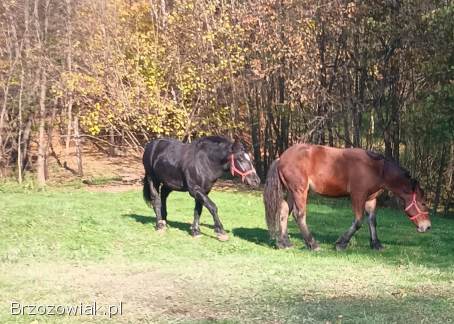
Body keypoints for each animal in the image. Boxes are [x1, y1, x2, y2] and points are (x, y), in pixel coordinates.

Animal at [262, 144, 430, 251]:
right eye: (422, 203)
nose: (427, 227)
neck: (375, 169)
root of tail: (281, 158)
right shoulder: (357, 196)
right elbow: (358, 221)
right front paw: (341, 243)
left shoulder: (371, 199)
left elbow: (372, 221)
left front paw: (376, 244)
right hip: (300, 191)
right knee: (299, 215)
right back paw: (313, 244)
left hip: (291, 192)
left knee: (284, 212)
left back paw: (284, 243)